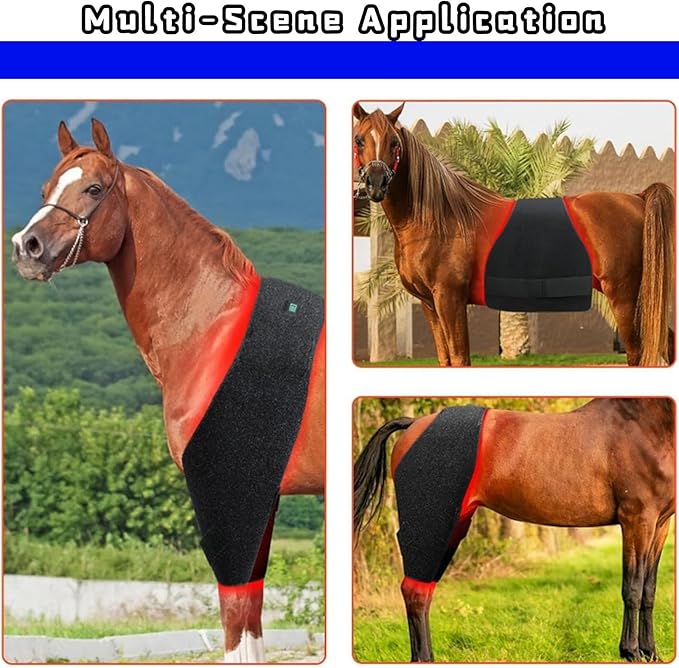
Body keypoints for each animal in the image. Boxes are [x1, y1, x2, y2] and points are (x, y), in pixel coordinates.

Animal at [11, 119, 326, 663]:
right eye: (46, 189)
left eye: (94, 189)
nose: (25, 246)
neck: (212, 330)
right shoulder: (259, 498)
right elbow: (252, 610)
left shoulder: (226, 493)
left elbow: (236, 614)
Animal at [353, 103, 675, 367]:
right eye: (359, 139)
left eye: (394, 142)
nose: (376, 183)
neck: (439, 219)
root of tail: (636, 198)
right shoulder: (429, 304)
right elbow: (446, 360)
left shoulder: (450, 298)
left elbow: (460, 358)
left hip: (624, 295)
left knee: (637, 352)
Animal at [354, 398, 675, 662]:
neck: (646, 423)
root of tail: (413, 425)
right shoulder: (637, 519)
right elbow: (633, 588)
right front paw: (631, 652)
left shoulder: (660, 524)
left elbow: (649, 589)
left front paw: (651, 652)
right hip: (431, 524)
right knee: (415, 591)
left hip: (452, 526)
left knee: (422, 590)